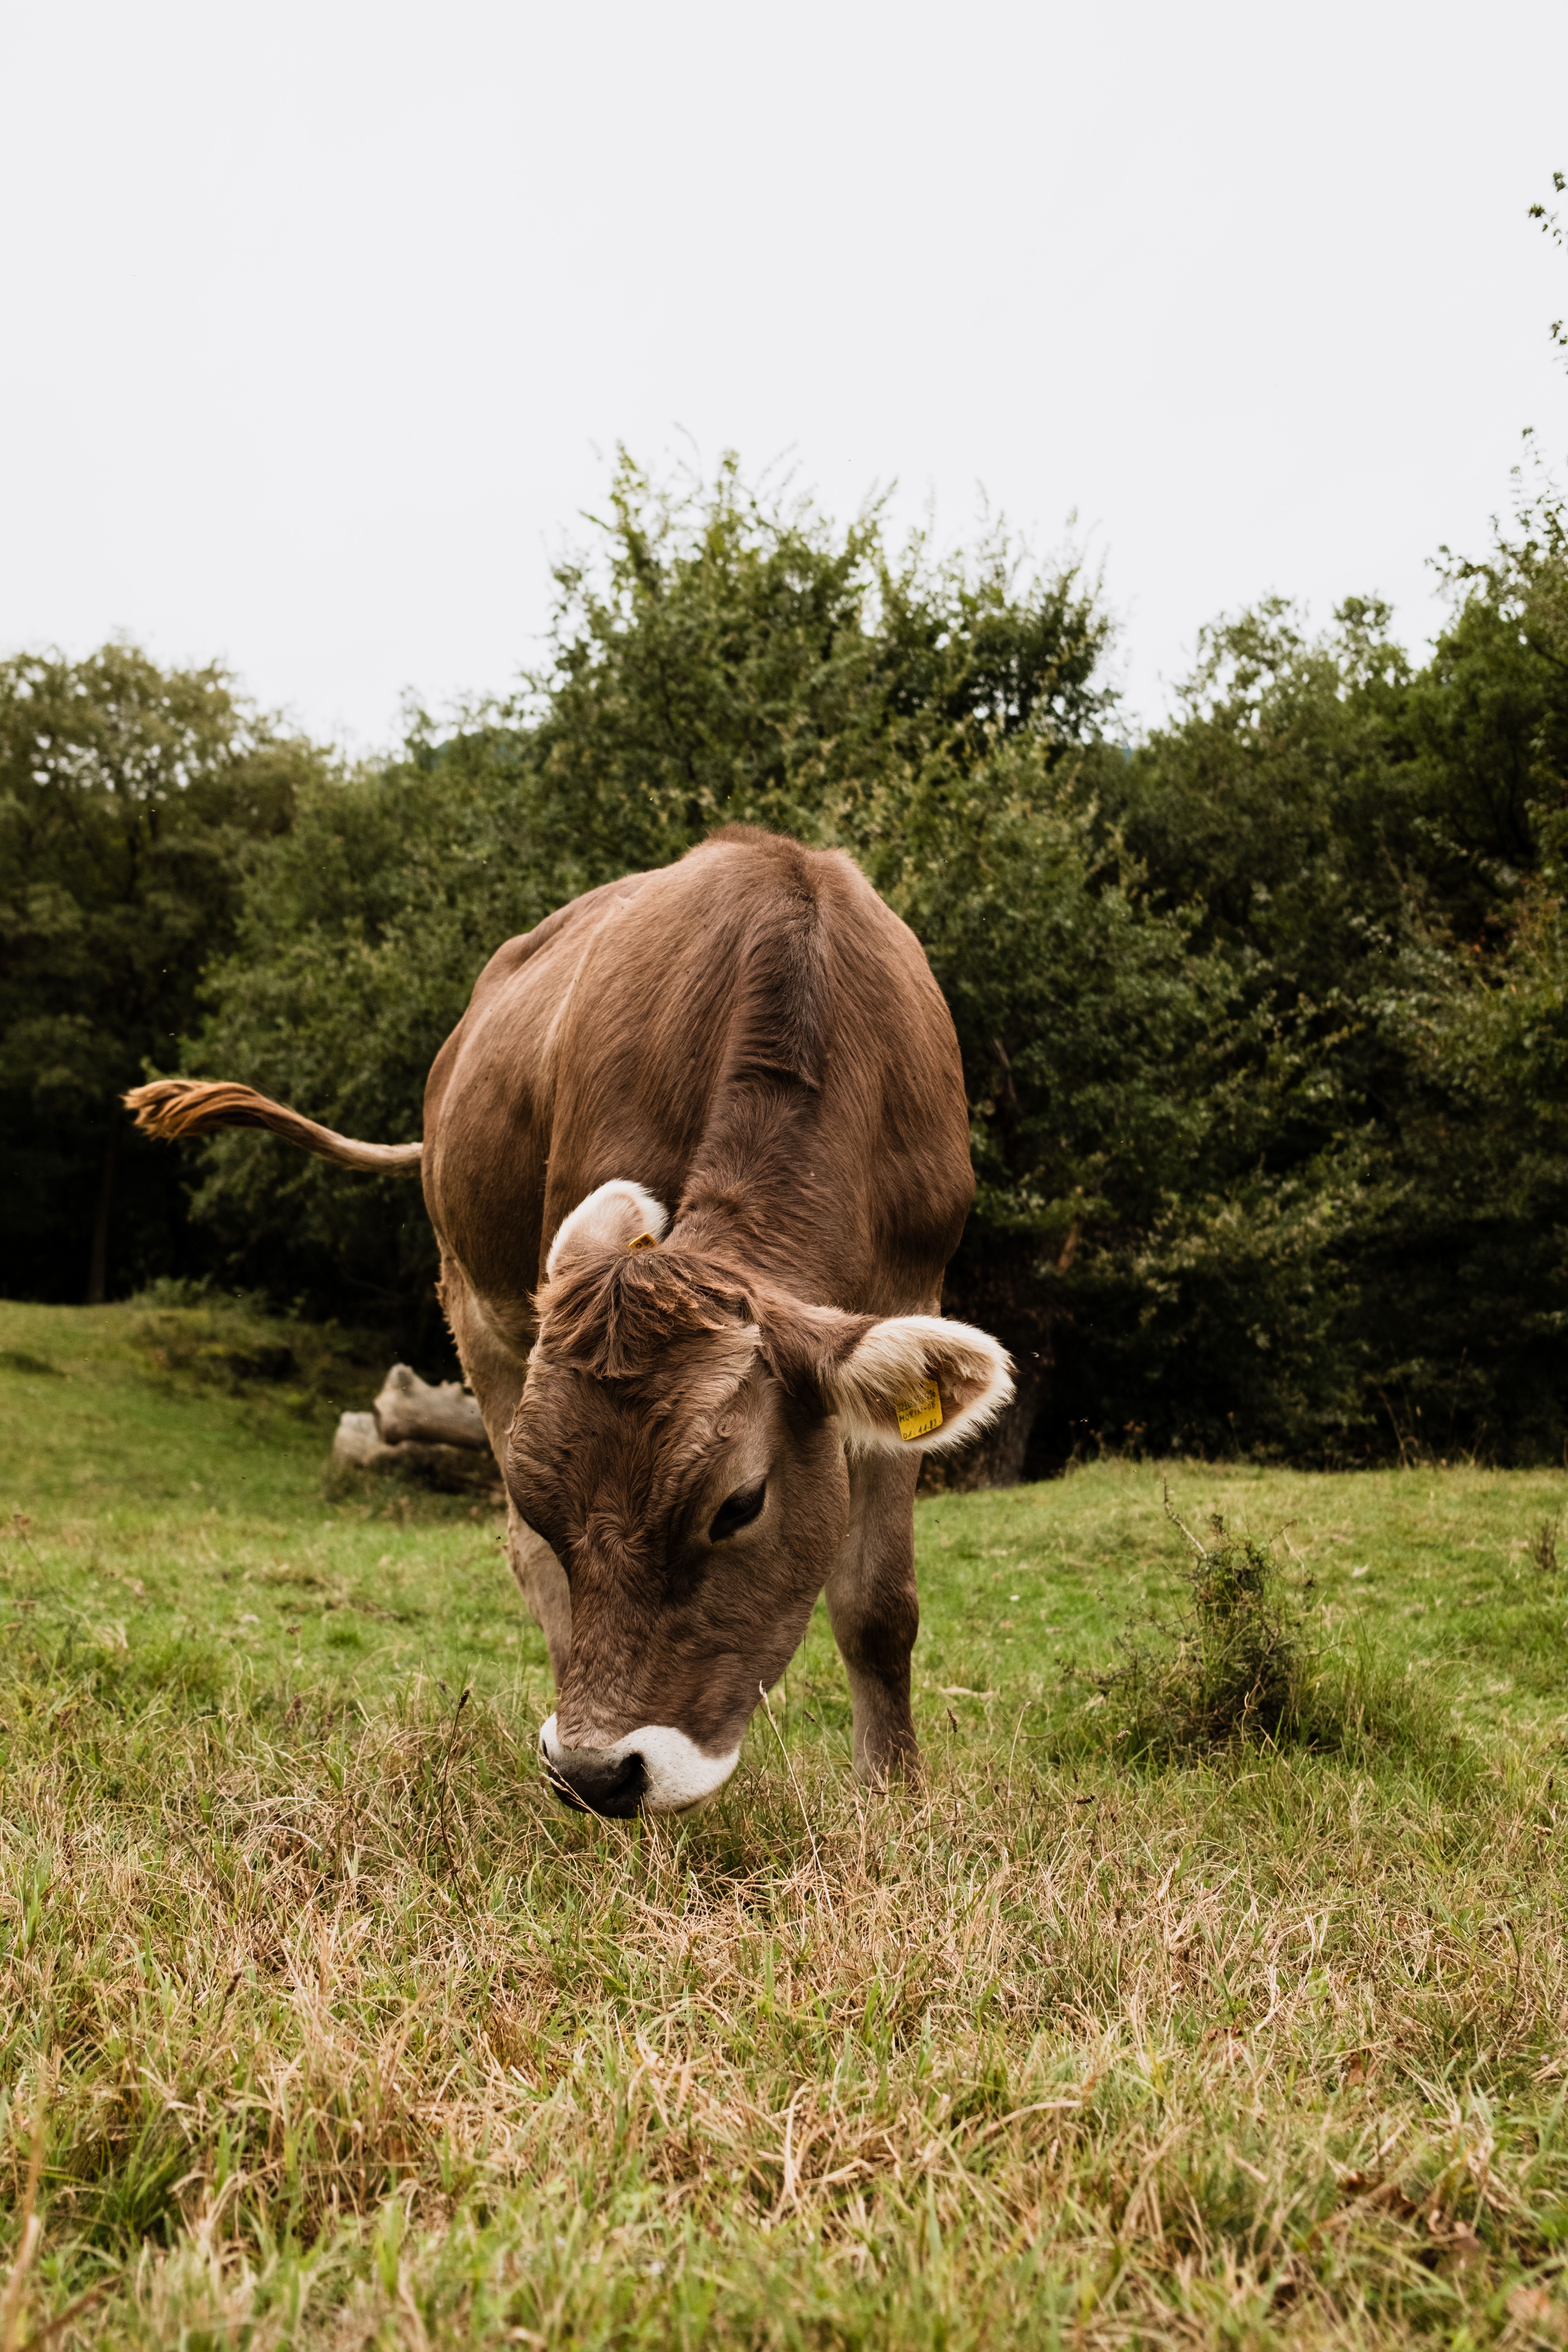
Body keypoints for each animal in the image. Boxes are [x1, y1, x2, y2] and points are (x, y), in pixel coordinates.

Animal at [127, 827, 1012, 1815]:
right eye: (543, 1494)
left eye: (739, 1505)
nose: (596, 1773)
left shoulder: (914, 1284)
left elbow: (877, 1601)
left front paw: (893, 1793)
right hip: (476, 1303)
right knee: (526, 1560)